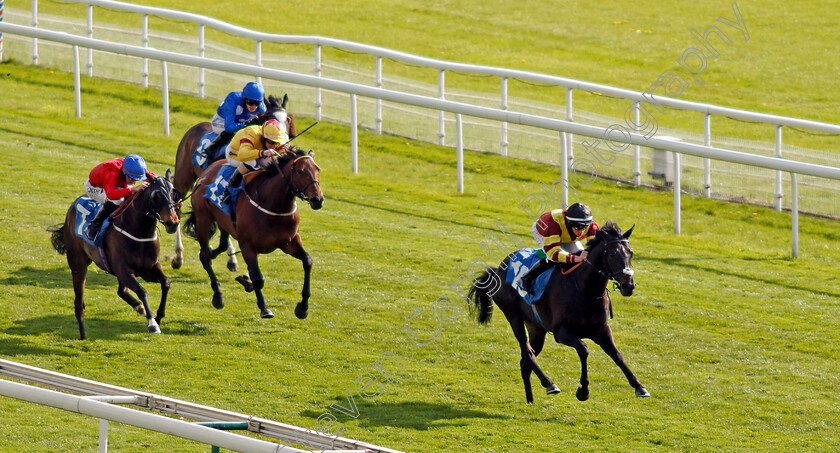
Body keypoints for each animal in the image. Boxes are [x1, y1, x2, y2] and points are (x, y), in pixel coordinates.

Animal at [48, 170, 181, 340]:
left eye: (174, 194)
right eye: (156, 196)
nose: (173, 223)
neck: (138, 231)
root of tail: (73, 205)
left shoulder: (149, 268)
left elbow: (166, 282)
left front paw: (157, 316)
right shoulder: (123, 269)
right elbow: (142, 291)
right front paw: (152, 323)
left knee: (121, 291)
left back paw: (139, 308)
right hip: (78, 263)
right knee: (79, 304)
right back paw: (83, 335)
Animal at [169, 93, 296, 270]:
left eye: (288, 119)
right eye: (270, 117)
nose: (283, 145)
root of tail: (194, 128)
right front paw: (231, 258)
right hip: (183, 177)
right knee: (177, 208)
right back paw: (178, 256)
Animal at [184, 147, 324, 318]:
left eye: (318, 169)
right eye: (300, 171)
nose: (318, 200)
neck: (273, 204)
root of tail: (207, 171)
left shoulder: (289, 242)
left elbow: (307, 261)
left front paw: (303, 308)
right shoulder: (248, 246)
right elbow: (258, 279)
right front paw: (264, 308)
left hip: (224, 222)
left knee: (220, 246)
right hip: (203, 218)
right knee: (204, 257)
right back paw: (218, 295)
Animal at [470, 221, 648, 400]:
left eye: (631, 253)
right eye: (611, 254)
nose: (628, 286)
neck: (585, 290)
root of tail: (498, 269)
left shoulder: (602, 330)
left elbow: (617, 355)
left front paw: (639, 387)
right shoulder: (561, 332)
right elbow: (584, 349)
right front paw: (583, 390)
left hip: (536, 328)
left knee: (525, 362)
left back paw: (531, 399)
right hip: (513, 316)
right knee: (528, 352)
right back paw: (550, 384)